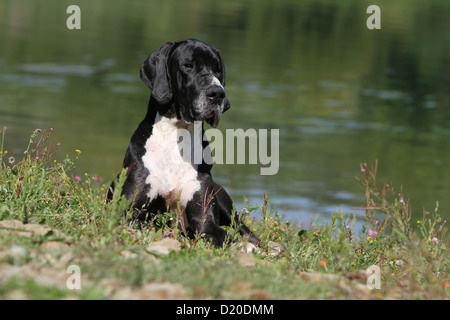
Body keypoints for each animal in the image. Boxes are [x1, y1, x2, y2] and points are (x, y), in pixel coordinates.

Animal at [110, 38, 260, 248]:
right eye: (188, 66)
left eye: (217, 70)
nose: (218, 93)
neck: (176, 133)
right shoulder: (127, 210)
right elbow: (147, 223)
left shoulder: (204, 213)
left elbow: (217, 232)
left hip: (222, 197)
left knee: (244, 229)